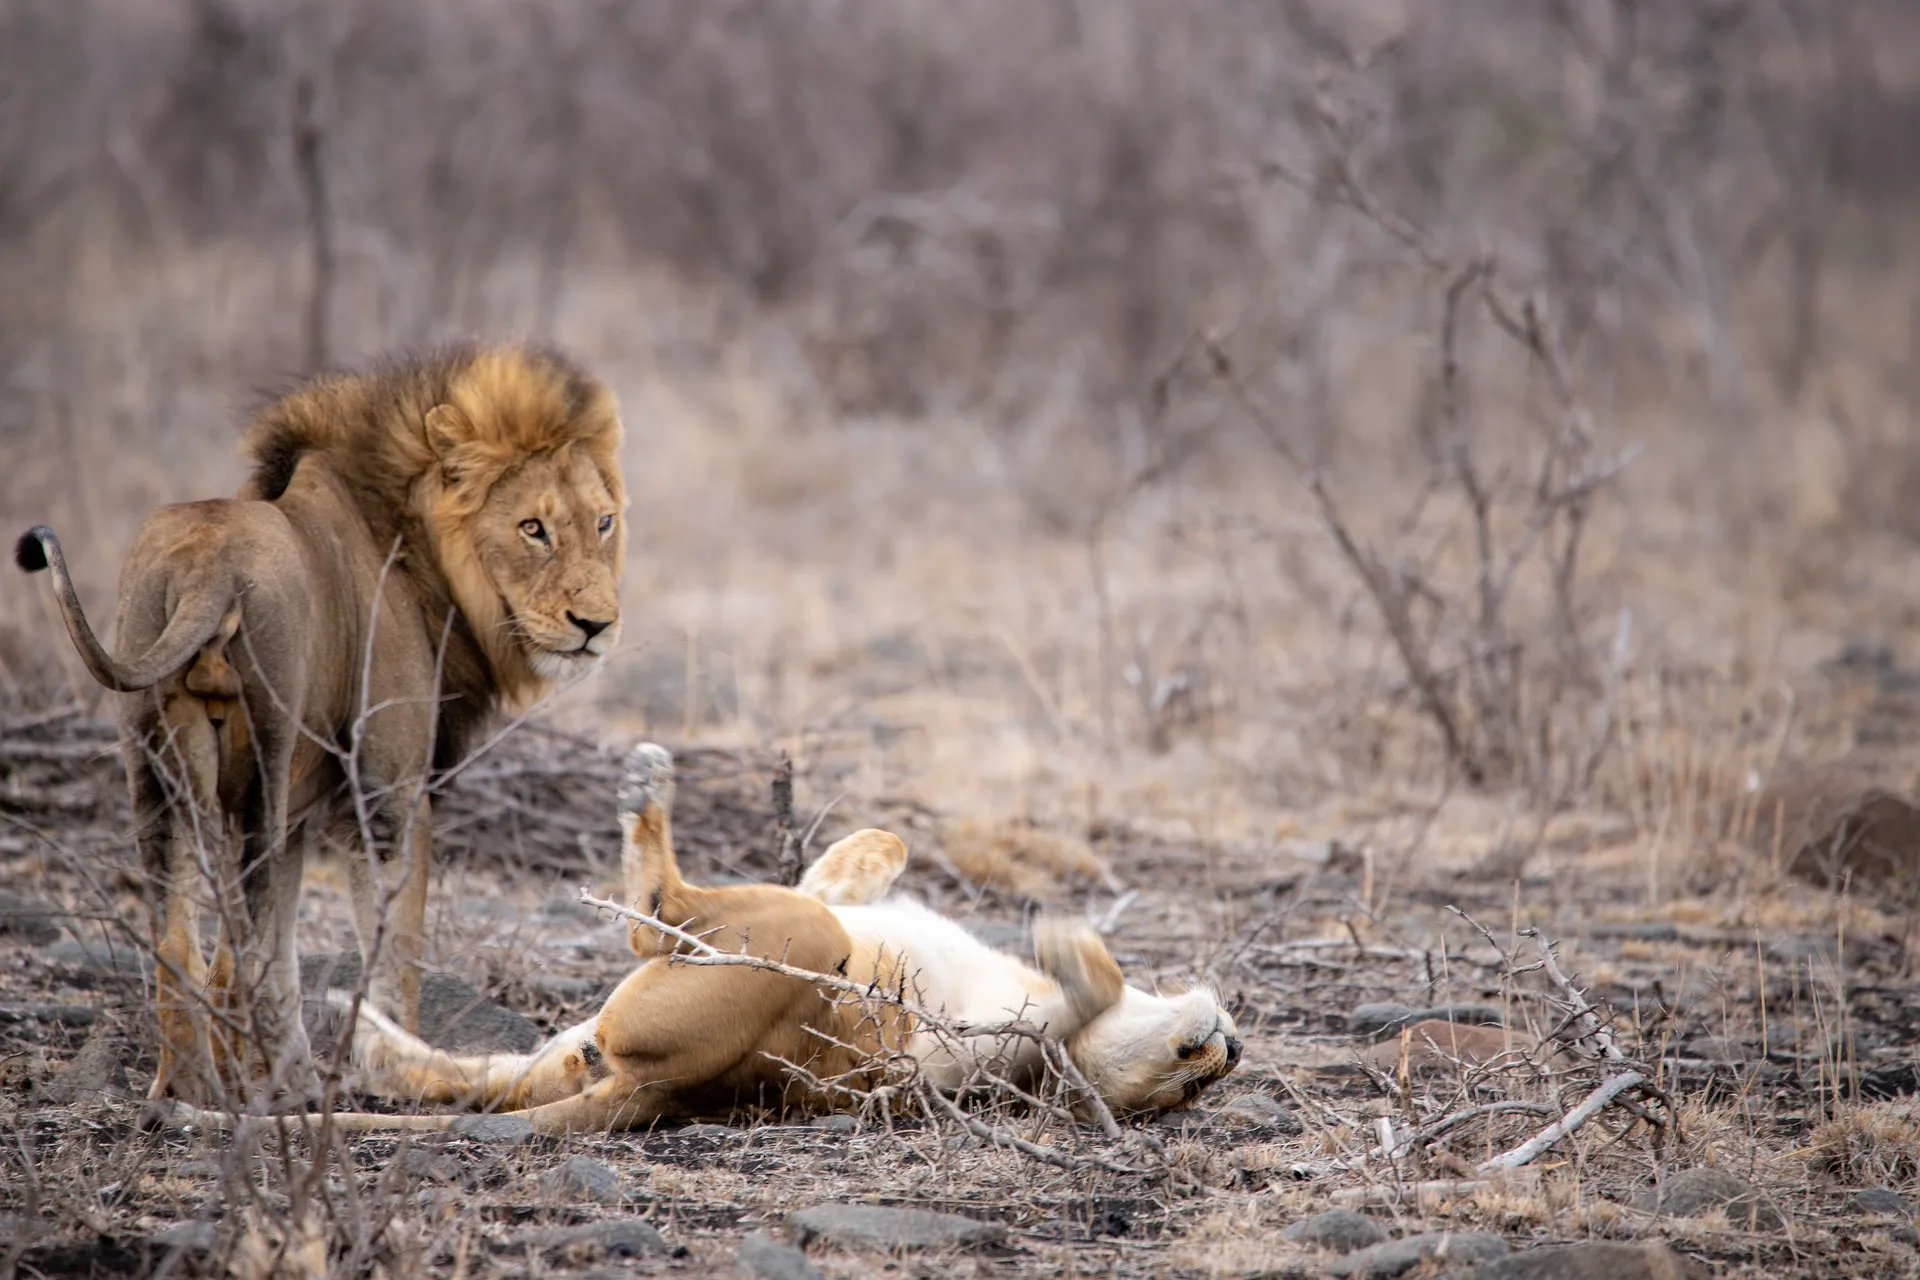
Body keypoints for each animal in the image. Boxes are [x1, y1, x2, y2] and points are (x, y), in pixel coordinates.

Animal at [16, 345, 629, 1105]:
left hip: (158, 765)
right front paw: (399, 1069)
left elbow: (274, 951)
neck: (410, 548)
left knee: (178, 934)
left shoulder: (301, 817)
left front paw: (289, 1071)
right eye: (533, 528)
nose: (596, 624)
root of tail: (206, 567)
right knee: (243, 933)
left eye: (603, 523)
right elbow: (390, 952)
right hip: (266, 761)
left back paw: (187, 1091)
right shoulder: (389, 796)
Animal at [187, 744, 1236, 1136]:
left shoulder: (1000, 1050)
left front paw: (1075, 944)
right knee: (489, 1080)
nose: (1226, 1046)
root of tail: (663, 1091)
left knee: (655, 909)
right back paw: (358, 1032)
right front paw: (865, 846)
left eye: (1192, 1074)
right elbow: (870, 857)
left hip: (756, 968)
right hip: (585, 1037)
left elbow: (1088, 990)